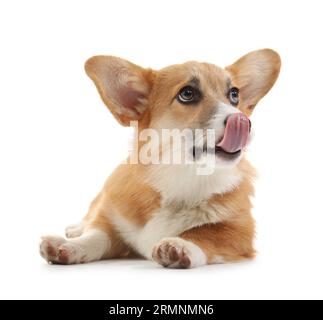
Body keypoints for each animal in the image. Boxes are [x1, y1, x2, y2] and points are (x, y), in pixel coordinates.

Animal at [39, 49, 280, 268]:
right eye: (187, 93)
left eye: (234, 95)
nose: (243, 121)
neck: (182, 177)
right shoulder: (112, 220)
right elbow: (96, 236)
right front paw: (69, 246)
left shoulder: (240, 231)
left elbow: (206, 233)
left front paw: (181, 245)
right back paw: (75, 229)